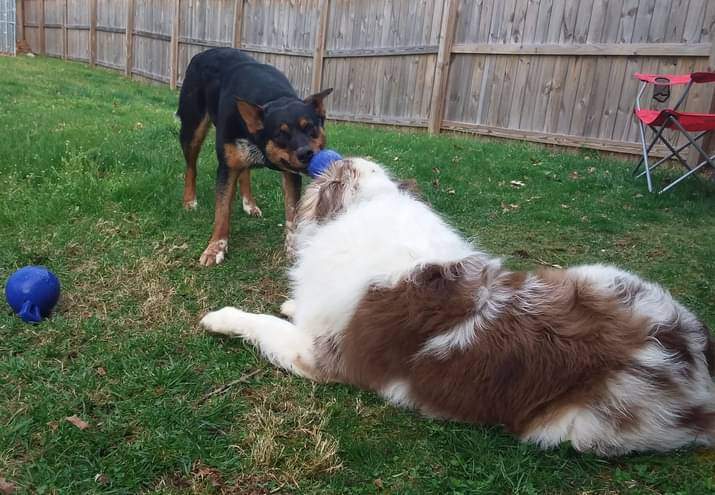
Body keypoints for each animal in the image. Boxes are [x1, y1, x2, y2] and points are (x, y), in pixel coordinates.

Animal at [179, 48, 336, 268]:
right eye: (280, 134)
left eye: (310, 127)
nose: (306, 153)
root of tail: (203, 53)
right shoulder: (226, 167)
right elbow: (222, 211)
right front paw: (215, 248)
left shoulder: (290, 173)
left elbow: (292, 212)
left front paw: (292, 248)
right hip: (192, 129)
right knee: (191, 167)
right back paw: (189, 201)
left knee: (244, 171)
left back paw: (249, 204)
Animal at [201, 157, 715, 456]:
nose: (318, 156)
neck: (372, 207)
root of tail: (692, 352)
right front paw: (292, 303)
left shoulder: (319, 357)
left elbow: (260, 323)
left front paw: (219, 318)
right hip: (602, 274)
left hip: (580, 426)